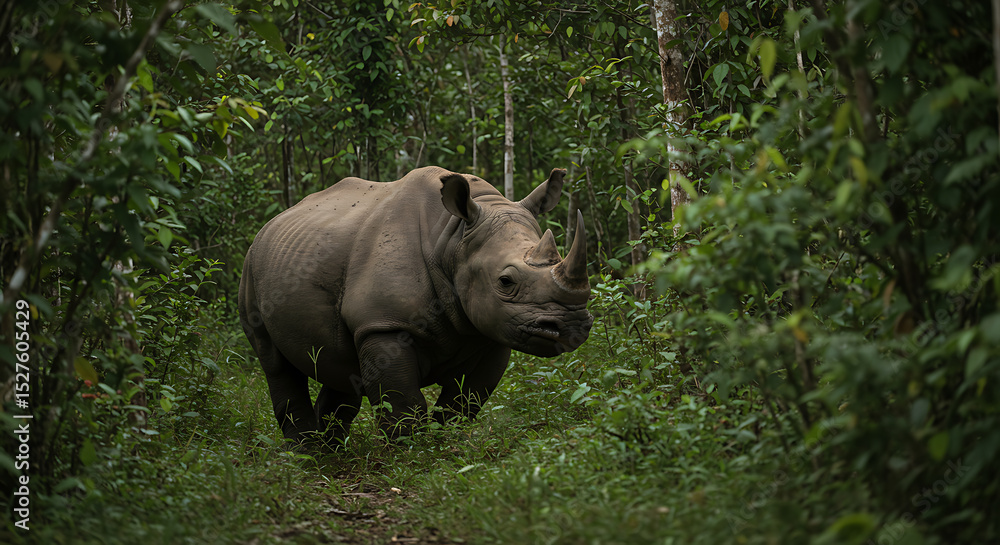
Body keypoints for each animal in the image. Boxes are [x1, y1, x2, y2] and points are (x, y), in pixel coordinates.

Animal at [238, 166, 592, 444]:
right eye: (505, 281)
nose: (571, 326)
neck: (453, 240)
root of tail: (269, 225)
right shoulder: (384, 323)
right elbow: (404, 403)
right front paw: (409, 454)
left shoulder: (491, 332)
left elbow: (464, 401)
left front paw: (444, 445)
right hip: (251, 270)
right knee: (275, 363)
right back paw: (307, 454)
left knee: (339, 366)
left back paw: (332, 449)